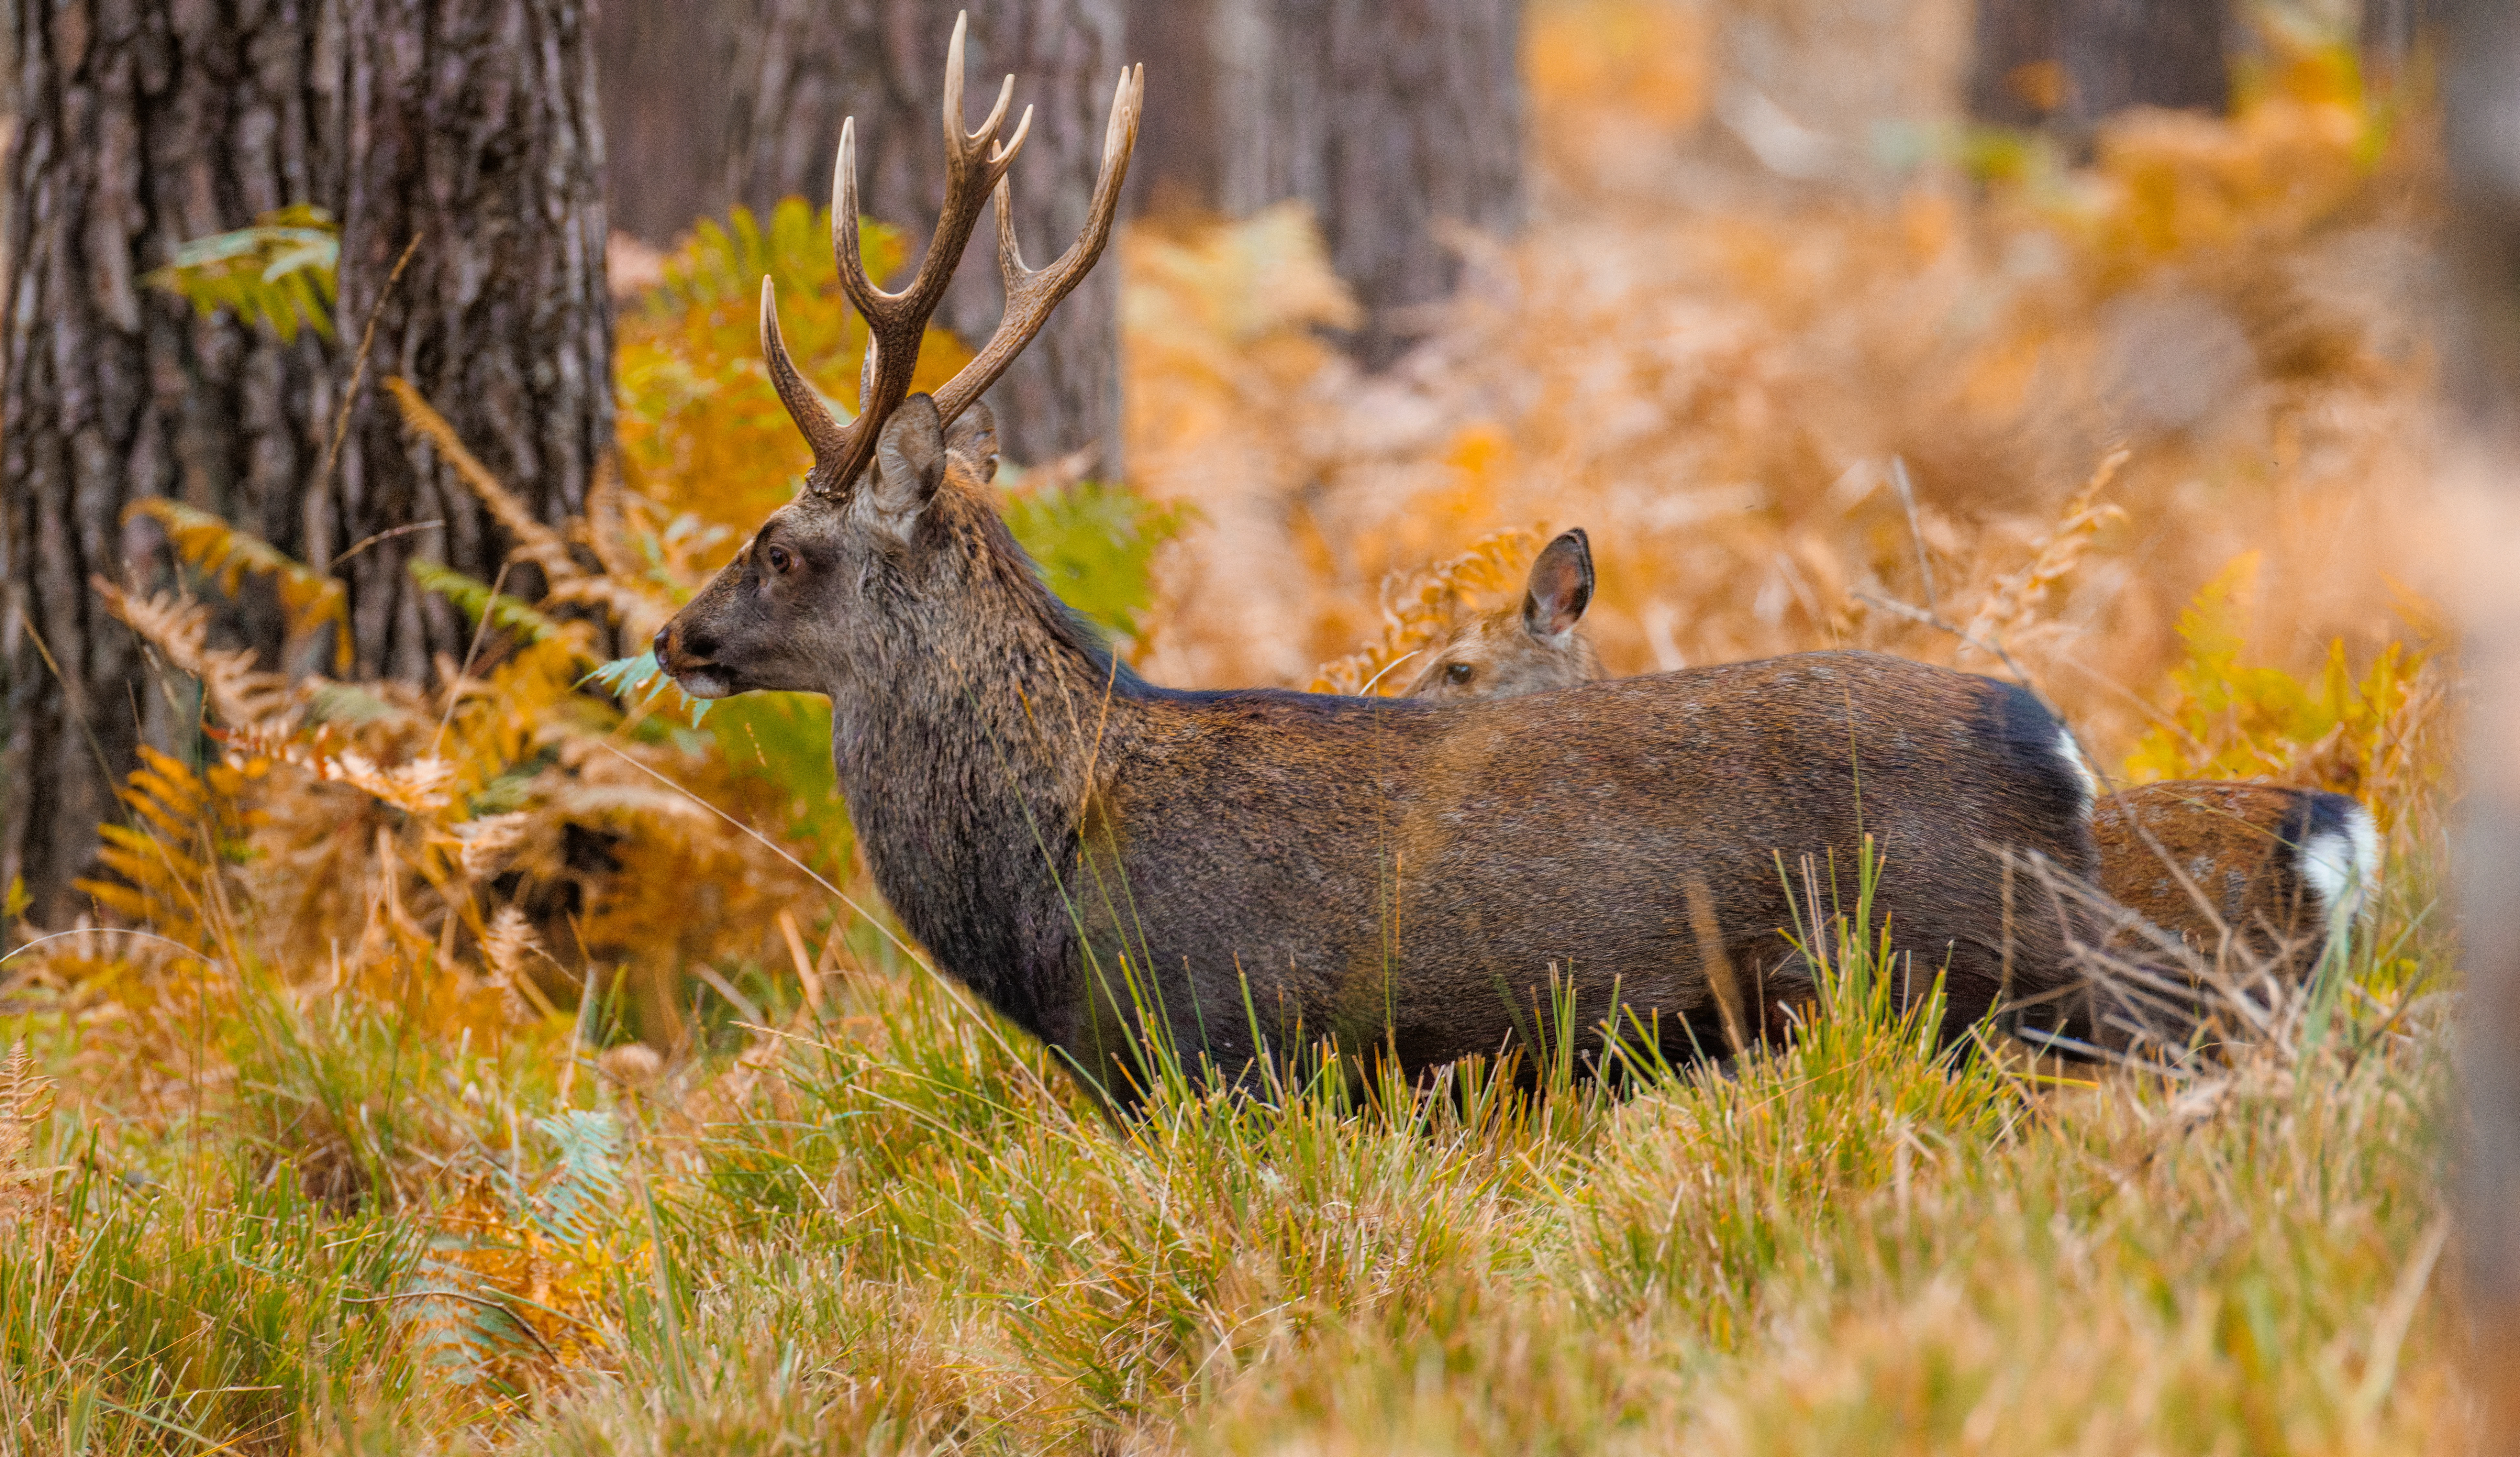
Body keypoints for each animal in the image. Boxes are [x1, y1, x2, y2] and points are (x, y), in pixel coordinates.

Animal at [649, 19, 2108, 1106]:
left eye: (779, 547)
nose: (672, 634)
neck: (1043, 888)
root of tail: (2058, 747)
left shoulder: (1234, 1047)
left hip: (1961, 981)